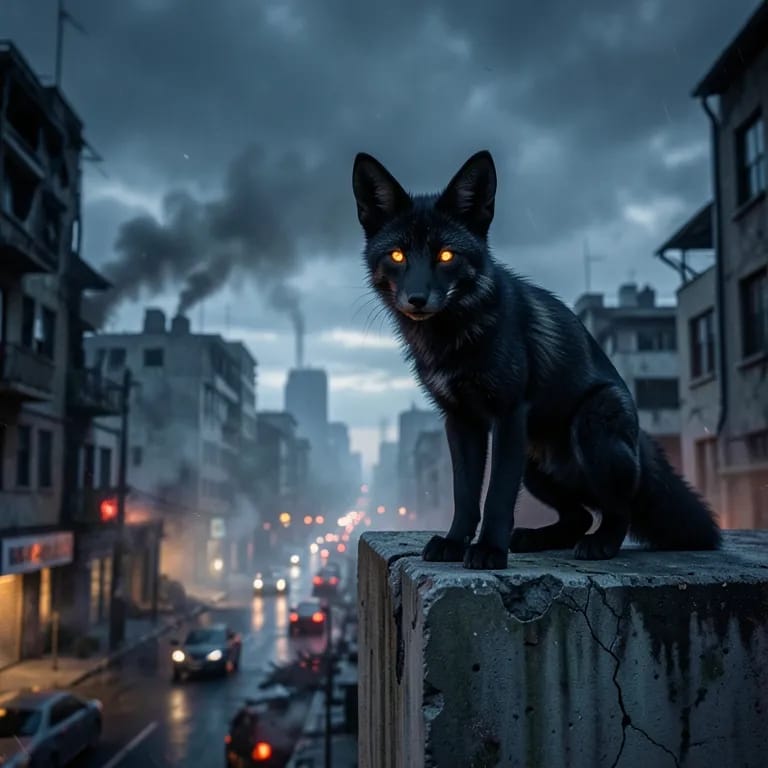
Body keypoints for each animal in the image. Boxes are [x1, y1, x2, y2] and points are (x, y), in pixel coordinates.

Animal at [351, 149, 722, 570]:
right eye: (397, 255)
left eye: (446, 255)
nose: (417, 299)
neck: (453, 337)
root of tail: (639, 439)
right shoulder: (461, 421)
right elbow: (465, 495)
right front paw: (455, 543)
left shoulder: (509, 413)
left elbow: (496, 496)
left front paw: (488, 550)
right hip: (534, 470)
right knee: (578, 516)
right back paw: (533, 538)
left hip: (591, 432)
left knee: (618, 509)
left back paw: (600, 544)